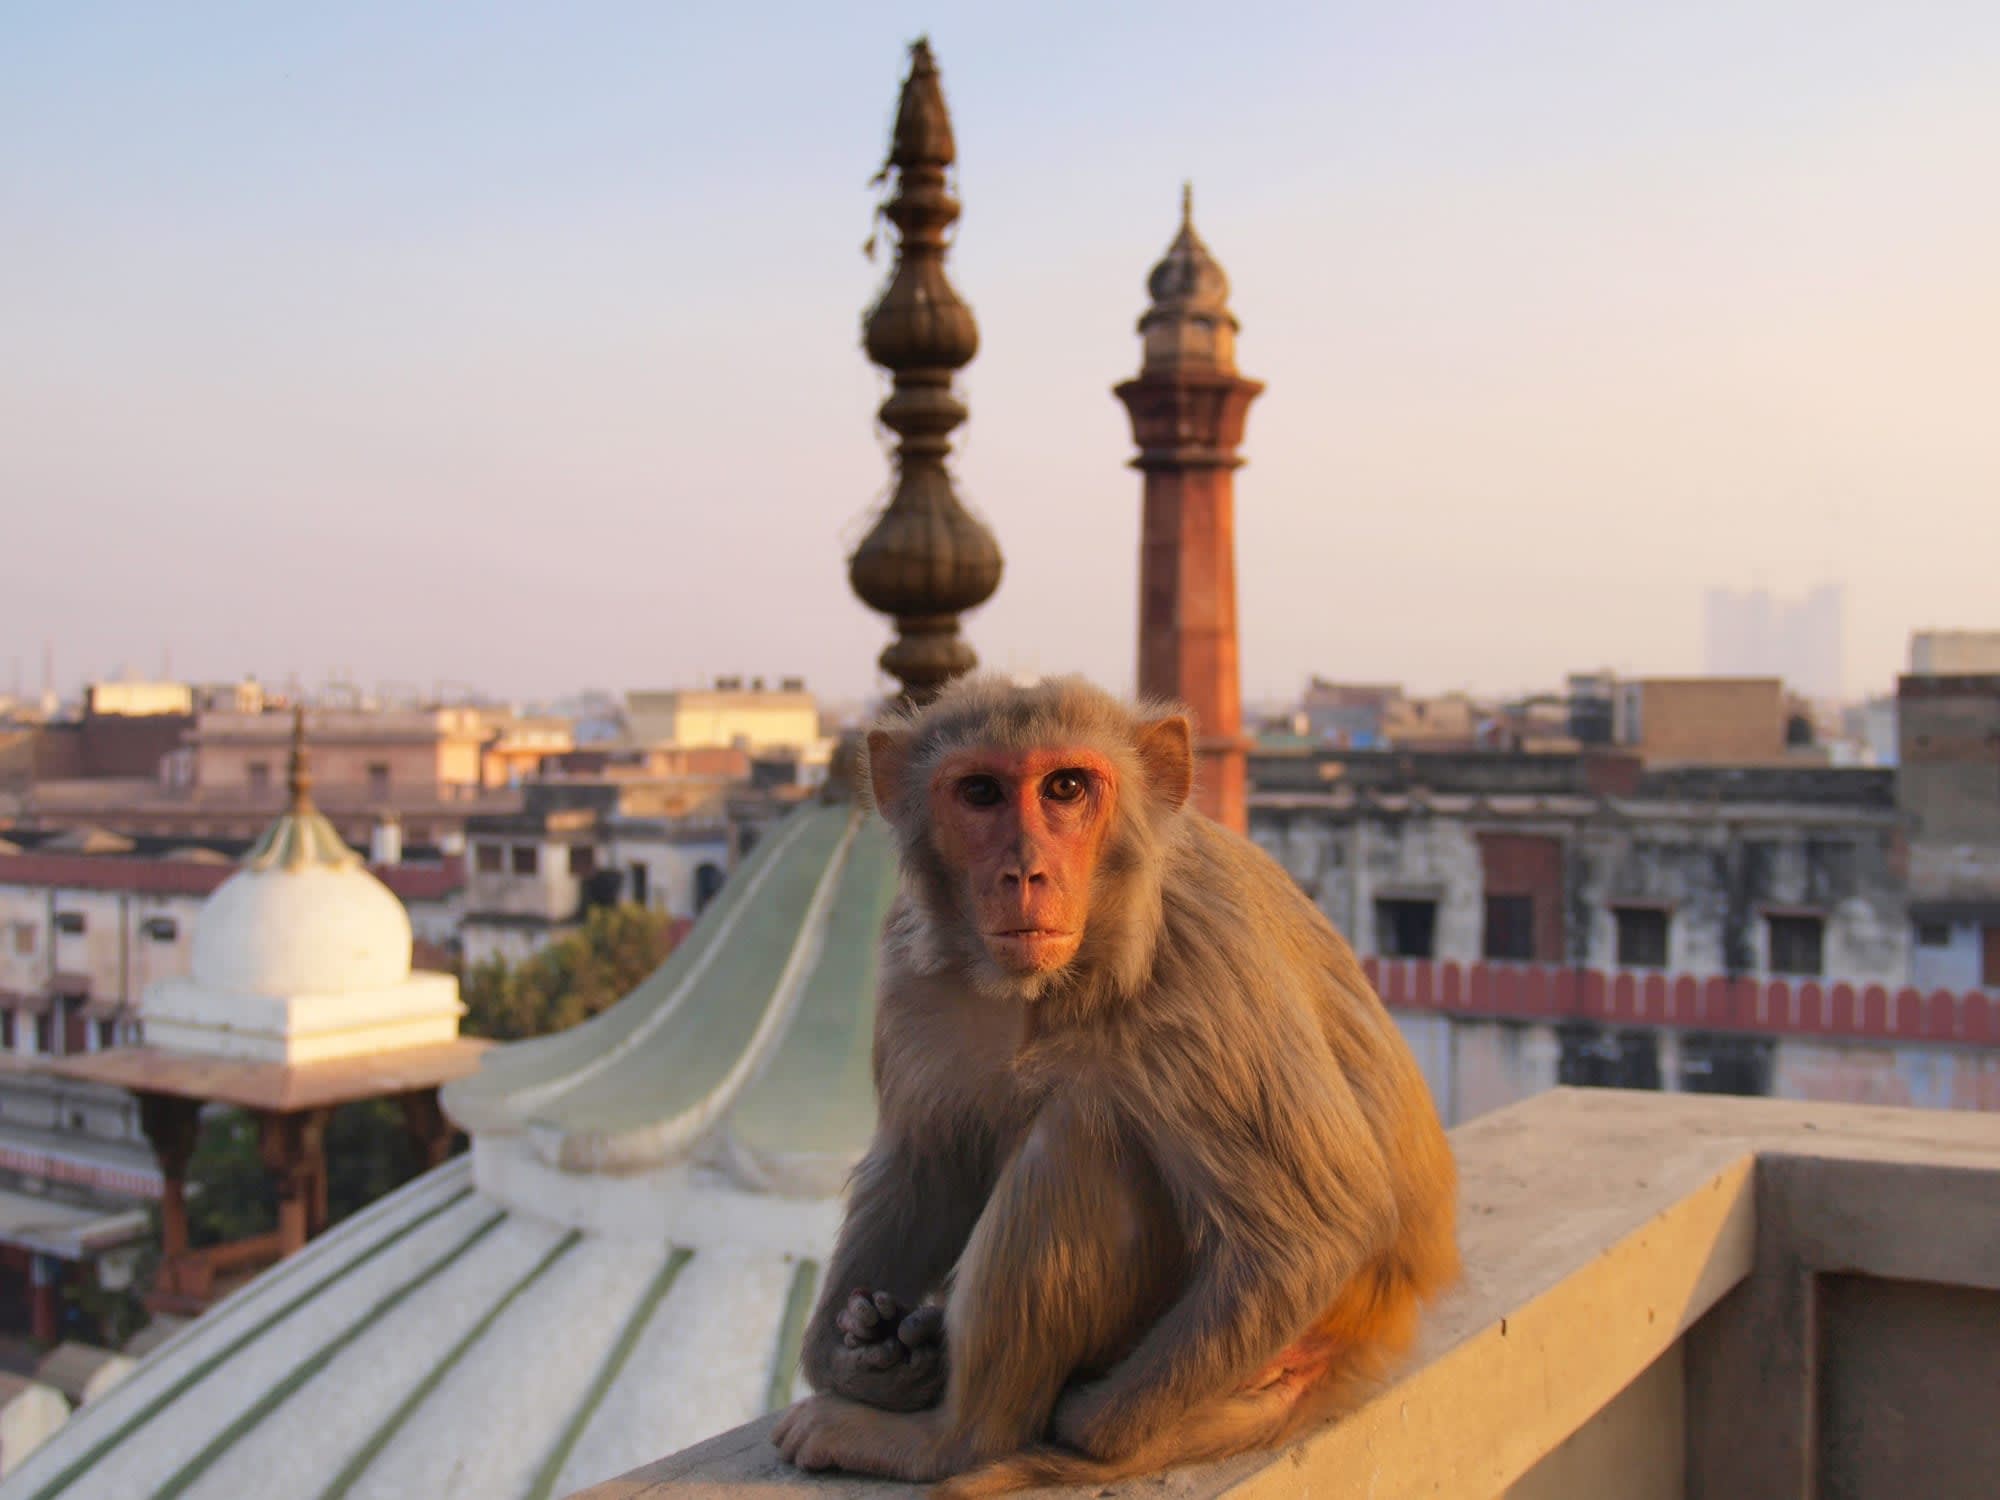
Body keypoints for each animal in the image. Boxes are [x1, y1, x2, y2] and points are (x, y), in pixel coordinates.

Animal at [777, 674, 1459, 1495]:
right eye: (980, 792)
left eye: (1066, 788)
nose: (1024, 874)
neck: (1050, 989)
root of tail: (1372, 1331)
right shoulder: (913, 968)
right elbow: (926, 1162)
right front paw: (860, 1354)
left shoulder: (1203, 955)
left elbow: (1319, 1229)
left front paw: (1081, 1424)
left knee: (1078, 1137)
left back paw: (953, 1440)